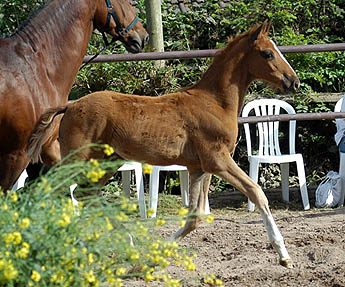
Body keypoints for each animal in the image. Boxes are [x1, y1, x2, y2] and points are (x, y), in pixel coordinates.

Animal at [28, 22, 298, 268]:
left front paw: (155, 255)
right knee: (58, 193)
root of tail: (70, 106)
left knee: (84, 194)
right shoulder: (218, 160)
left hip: (106, 162)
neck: (215, 102)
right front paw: (283, 255)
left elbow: (195, 216)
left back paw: (125, 244)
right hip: (77, 160)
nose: (293, 82)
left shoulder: (199, 167)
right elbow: (257, 192)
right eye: (267, 53)